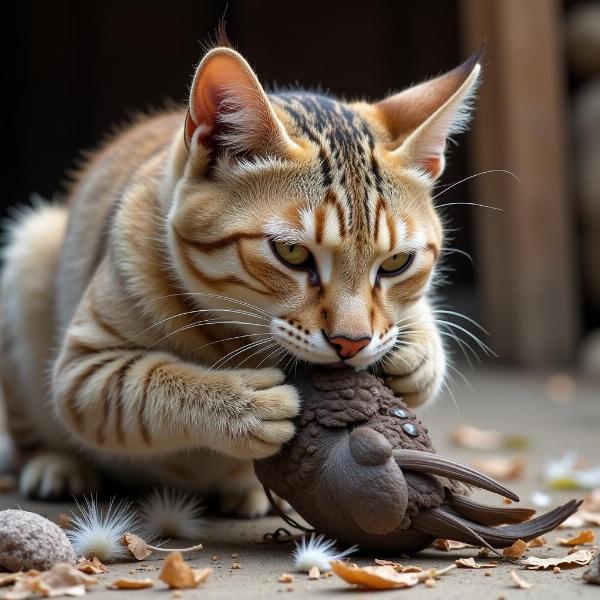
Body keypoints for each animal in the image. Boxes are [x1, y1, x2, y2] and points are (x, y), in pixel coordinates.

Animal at [0, 41, 480, 516]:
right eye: (292, 253)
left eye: (396, 262)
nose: (352, 343)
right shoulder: (83, 370)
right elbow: (148, 385)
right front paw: (244, 405)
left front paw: (416, 357)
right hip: (31, 251)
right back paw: (56, 466)